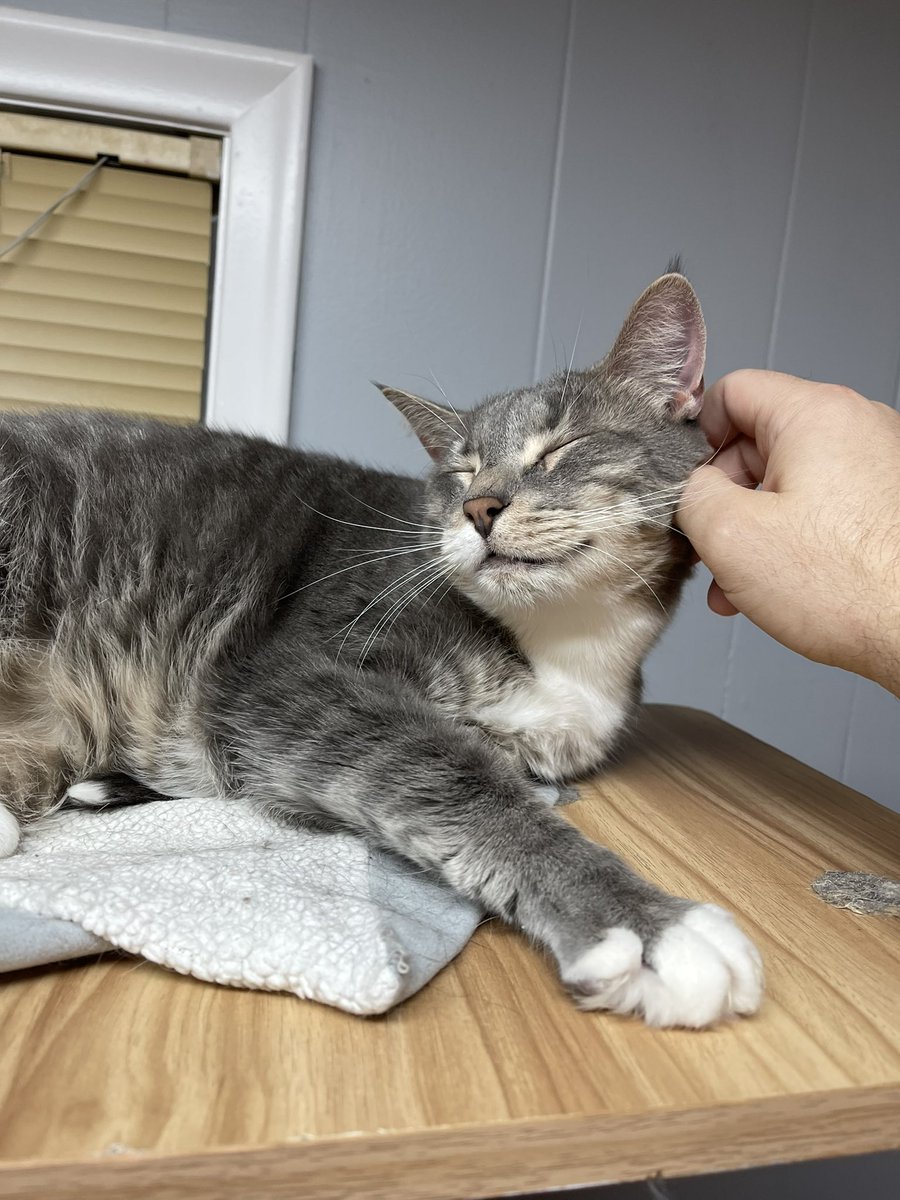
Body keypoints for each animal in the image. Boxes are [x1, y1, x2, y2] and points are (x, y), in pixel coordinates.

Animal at [0, 270, 763, 1022]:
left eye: (561, 447)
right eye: (461, 471)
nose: (478, 507)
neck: (562, 639)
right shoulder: (297, 675)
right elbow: (453, 774)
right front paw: (642, 923)